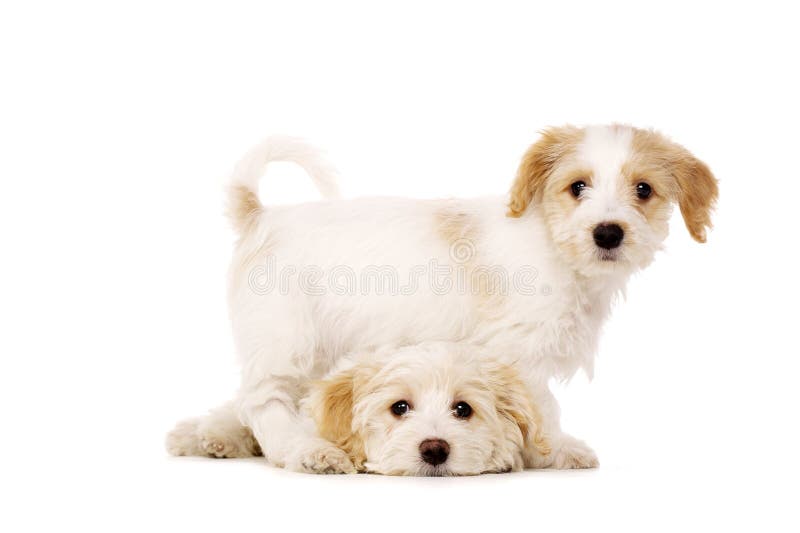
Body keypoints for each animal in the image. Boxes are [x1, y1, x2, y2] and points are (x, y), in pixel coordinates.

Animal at [166, 342, 548, 476]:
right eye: (400, 407)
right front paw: (321, 455)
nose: (435, 450)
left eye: (463, 409)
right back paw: (205, 436)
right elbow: (296, 438)